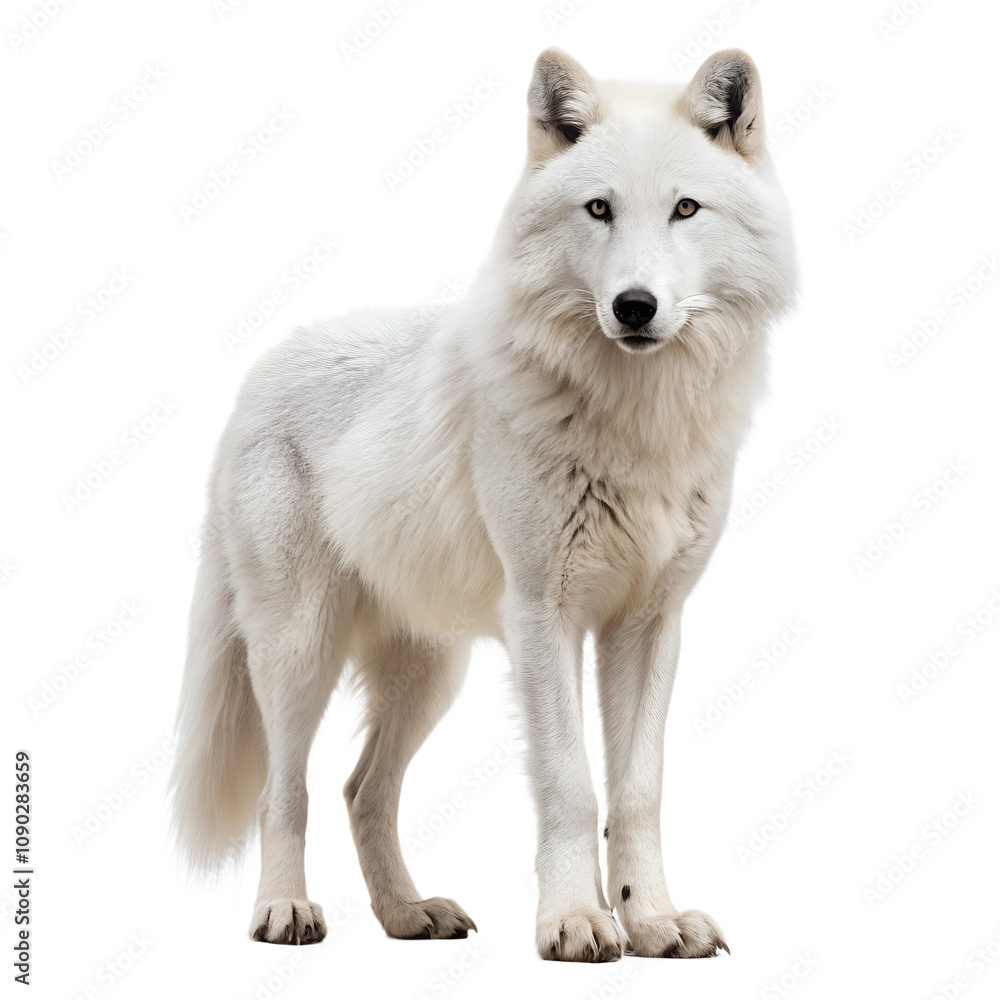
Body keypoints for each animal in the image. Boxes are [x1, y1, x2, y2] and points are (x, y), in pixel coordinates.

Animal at [170, 47, 796, 962]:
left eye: (685, 209)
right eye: (599, 209)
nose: (634, 306)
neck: (634, 422)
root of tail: (259, 372)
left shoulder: (650, 625)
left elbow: (637, 792)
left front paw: (651, 921)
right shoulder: (544, 616)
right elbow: (572, 785)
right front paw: (575, 922)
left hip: (433, 673)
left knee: (363, 790)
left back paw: (407, 914)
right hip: (299, 652)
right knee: (286, 793)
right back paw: (283, 912)